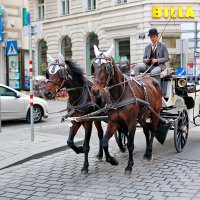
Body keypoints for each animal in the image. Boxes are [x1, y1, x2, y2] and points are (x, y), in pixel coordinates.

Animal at [92, 45, 162, 173]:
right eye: (93, 66)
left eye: (106, 67)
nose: (95, 91)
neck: (120, 94)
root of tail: (152, 79)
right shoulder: (113, 122)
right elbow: (104, 141)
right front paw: (112, 160)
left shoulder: (131, 122)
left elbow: (130, 144)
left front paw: (129, 166)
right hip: (142, 117)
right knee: (146, 131)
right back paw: (146, 153)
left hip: (155, 113)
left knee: (153, 130)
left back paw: (149, 153)